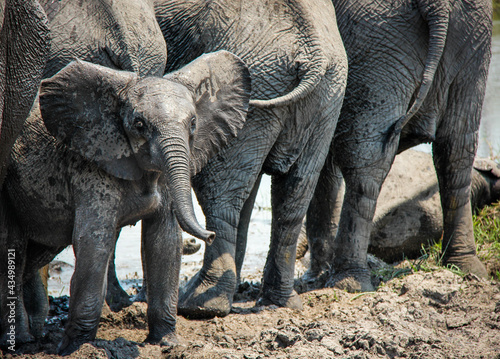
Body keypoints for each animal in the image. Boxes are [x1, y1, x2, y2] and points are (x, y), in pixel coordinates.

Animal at [0, 50, 250, 354]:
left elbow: (164, 241)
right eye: (139, 125)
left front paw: (166, 341)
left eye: (193, 123)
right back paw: (21, 341)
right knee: (13, 249)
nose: (210, 234)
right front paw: (78, 348)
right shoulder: (90, 169)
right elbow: (95, 242)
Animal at [153, 0, 348, 318]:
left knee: (219, 194)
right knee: (294, 191)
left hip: (260, 81)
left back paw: (201, 304)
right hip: (326, 96)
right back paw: (279, 302)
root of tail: (313, 50)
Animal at [304, 0, 492, 292]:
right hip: (472, 37)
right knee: (457, 150)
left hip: (375, 39)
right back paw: (464, 267)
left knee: (366, 161)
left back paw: (349, 284)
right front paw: (316, 274)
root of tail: (437, 5)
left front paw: (314, 277)